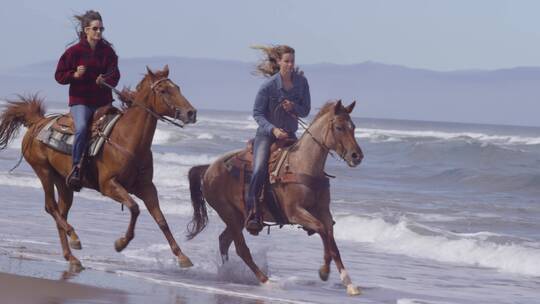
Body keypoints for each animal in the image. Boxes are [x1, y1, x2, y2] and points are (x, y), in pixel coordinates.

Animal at [0, 66, 197, 270]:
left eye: (178, 88)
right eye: (163, 91)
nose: (191, 113)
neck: (126, 140)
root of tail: (37, 122)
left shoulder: (147, 187)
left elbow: (161, 220)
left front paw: (182, 256)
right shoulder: (108, 186)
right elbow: (134, 208)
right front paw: (121, 243)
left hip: (63, 182)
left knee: (61, 213)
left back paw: (72, 256)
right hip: (43, 171)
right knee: (51, 207)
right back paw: (74, 237)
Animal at [186, 101, 362, 296]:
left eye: (353, 127)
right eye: (339, 127)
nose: (357, 156)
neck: (303, 164)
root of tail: (208, 169)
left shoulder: (324, 212)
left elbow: (332, 243)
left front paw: (349, 283)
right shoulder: (295, 212)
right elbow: (321, 230)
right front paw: (324, 271)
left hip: (238, 218)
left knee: (224, 241)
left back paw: (228, 272)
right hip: (228, 213)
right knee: (241, 249)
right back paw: (267, 281)